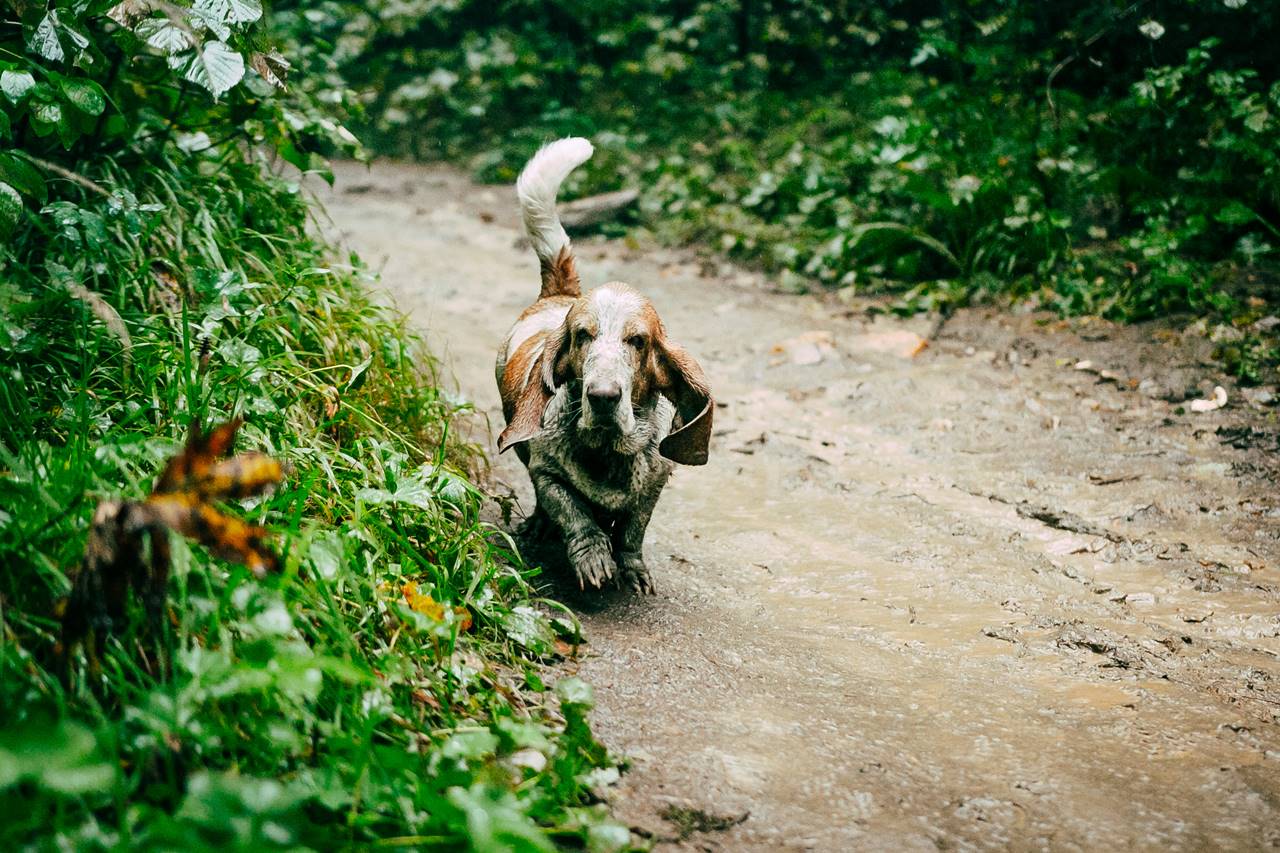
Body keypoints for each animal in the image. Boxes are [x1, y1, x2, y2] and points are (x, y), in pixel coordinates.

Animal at [491, 139, 716, 591]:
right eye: (582, 335)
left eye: (638, 341)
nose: (603, 397)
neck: (607, 454)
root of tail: (559, 292)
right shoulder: (547, 475)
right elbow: (575, 515)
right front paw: (594, 558)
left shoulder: (653, 487)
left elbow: (633, 530)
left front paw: (631, 568)